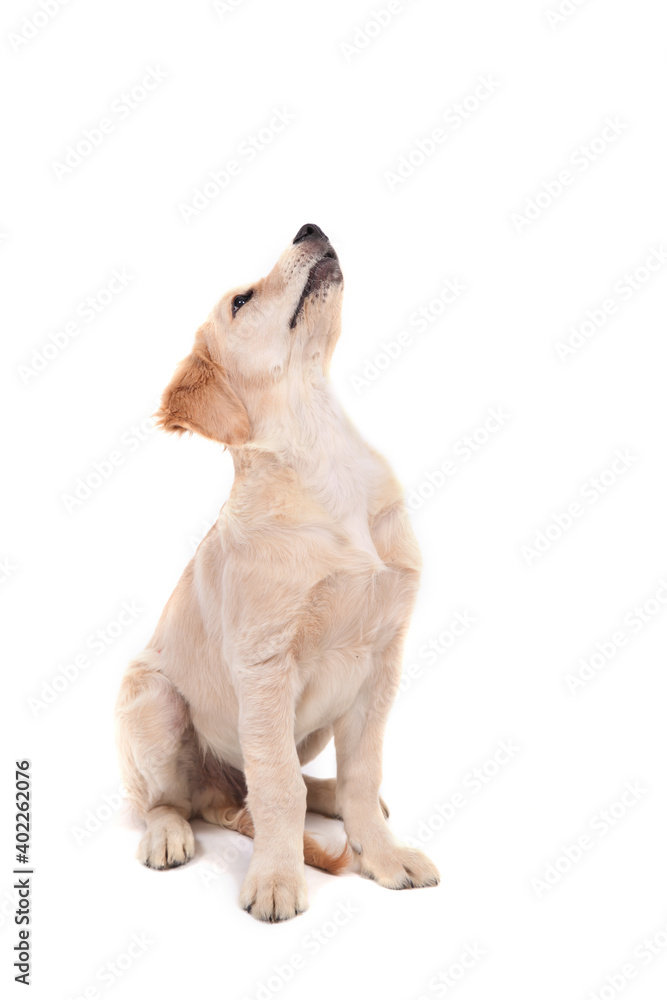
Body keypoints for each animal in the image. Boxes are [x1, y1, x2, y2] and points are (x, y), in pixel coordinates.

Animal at [115, 223, 439, 921]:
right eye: (241, 302)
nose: (309, 227)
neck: (324, 454)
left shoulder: (382, 660)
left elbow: (363, 770)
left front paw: (382, 853)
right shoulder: (265, 667)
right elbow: (277, 785)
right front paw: (277, 878)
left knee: (319, 779)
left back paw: (338, 799)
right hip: (152, 700)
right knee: (168, 801)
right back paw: (168, 834)